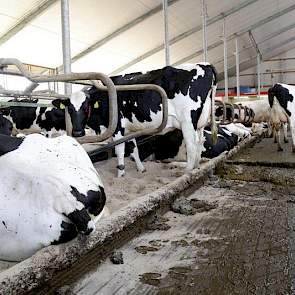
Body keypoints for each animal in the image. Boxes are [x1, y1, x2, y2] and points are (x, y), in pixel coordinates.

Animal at [53, 63, 219, 177]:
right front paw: (141, 169)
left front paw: (120, 174)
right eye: (69, 109)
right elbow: (134, 149)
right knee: (199, 143)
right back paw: (197, 167)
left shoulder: (117, 127)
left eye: (86, 107)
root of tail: (205, 65)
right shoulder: (128, 129)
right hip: (200, 124)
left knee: (191, 146)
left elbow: (119, 150)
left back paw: (187, 171)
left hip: (187, 121)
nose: (77, 132)